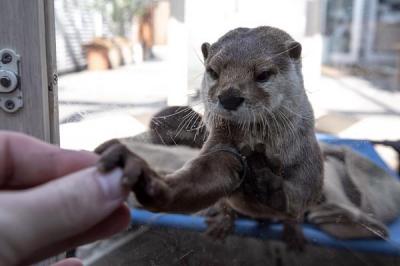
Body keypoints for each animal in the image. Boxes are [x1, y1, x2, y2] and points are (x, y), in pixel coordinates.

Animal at [97, 26, 324, 249]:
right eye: (213, 72)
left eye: (263, 74)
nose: (229, 97)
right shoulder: (221, 144)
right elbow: (204, 175)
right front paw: (148, 181)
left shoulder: (308, 159)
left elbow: (303, 195)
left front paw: (268, 185)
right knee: (225, 203)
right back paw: (223, 220)